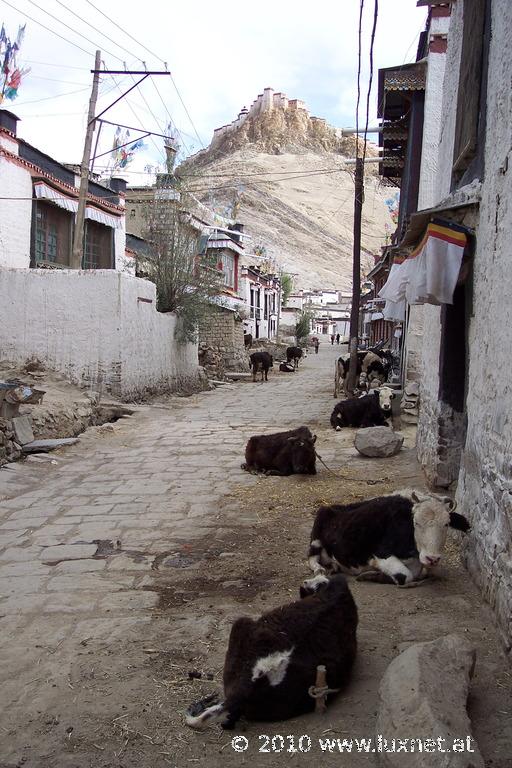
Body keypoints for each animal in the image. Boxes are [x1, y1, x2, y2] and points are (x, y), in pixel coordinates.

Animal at [306, 488, 470, 584]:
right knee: (312, 559)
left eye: (446, 524)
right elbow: (406, 575)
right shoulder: (381, 554)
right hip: (316, 538)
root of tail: (333, 507)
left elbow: (421, 572)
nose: (432, 558)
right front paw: (372, 575)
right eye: (416, 522)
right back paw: (320, 569)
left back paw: (333, 566)